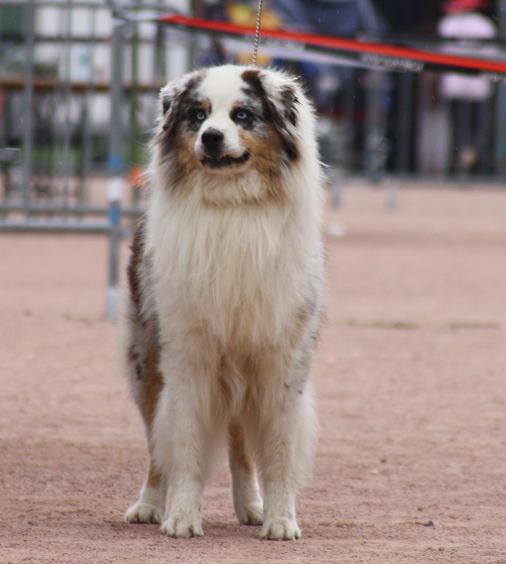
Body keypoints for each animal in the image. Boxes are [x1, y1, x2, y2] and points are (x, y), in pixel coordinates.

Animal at [123, 64, 324, 540]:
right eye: (197, 116)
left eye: (242, 115)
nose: (211, 137)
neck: (233, 207)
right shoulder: (188, 355)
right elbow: (184, 443)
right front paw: (181, 516)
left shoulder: (281, 359)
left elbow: (278, 449)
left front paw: (280, 519)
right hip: (148, 363)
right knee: (157, 446)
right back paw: (148, 505)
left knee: (239, 445)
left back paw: (251, 505)